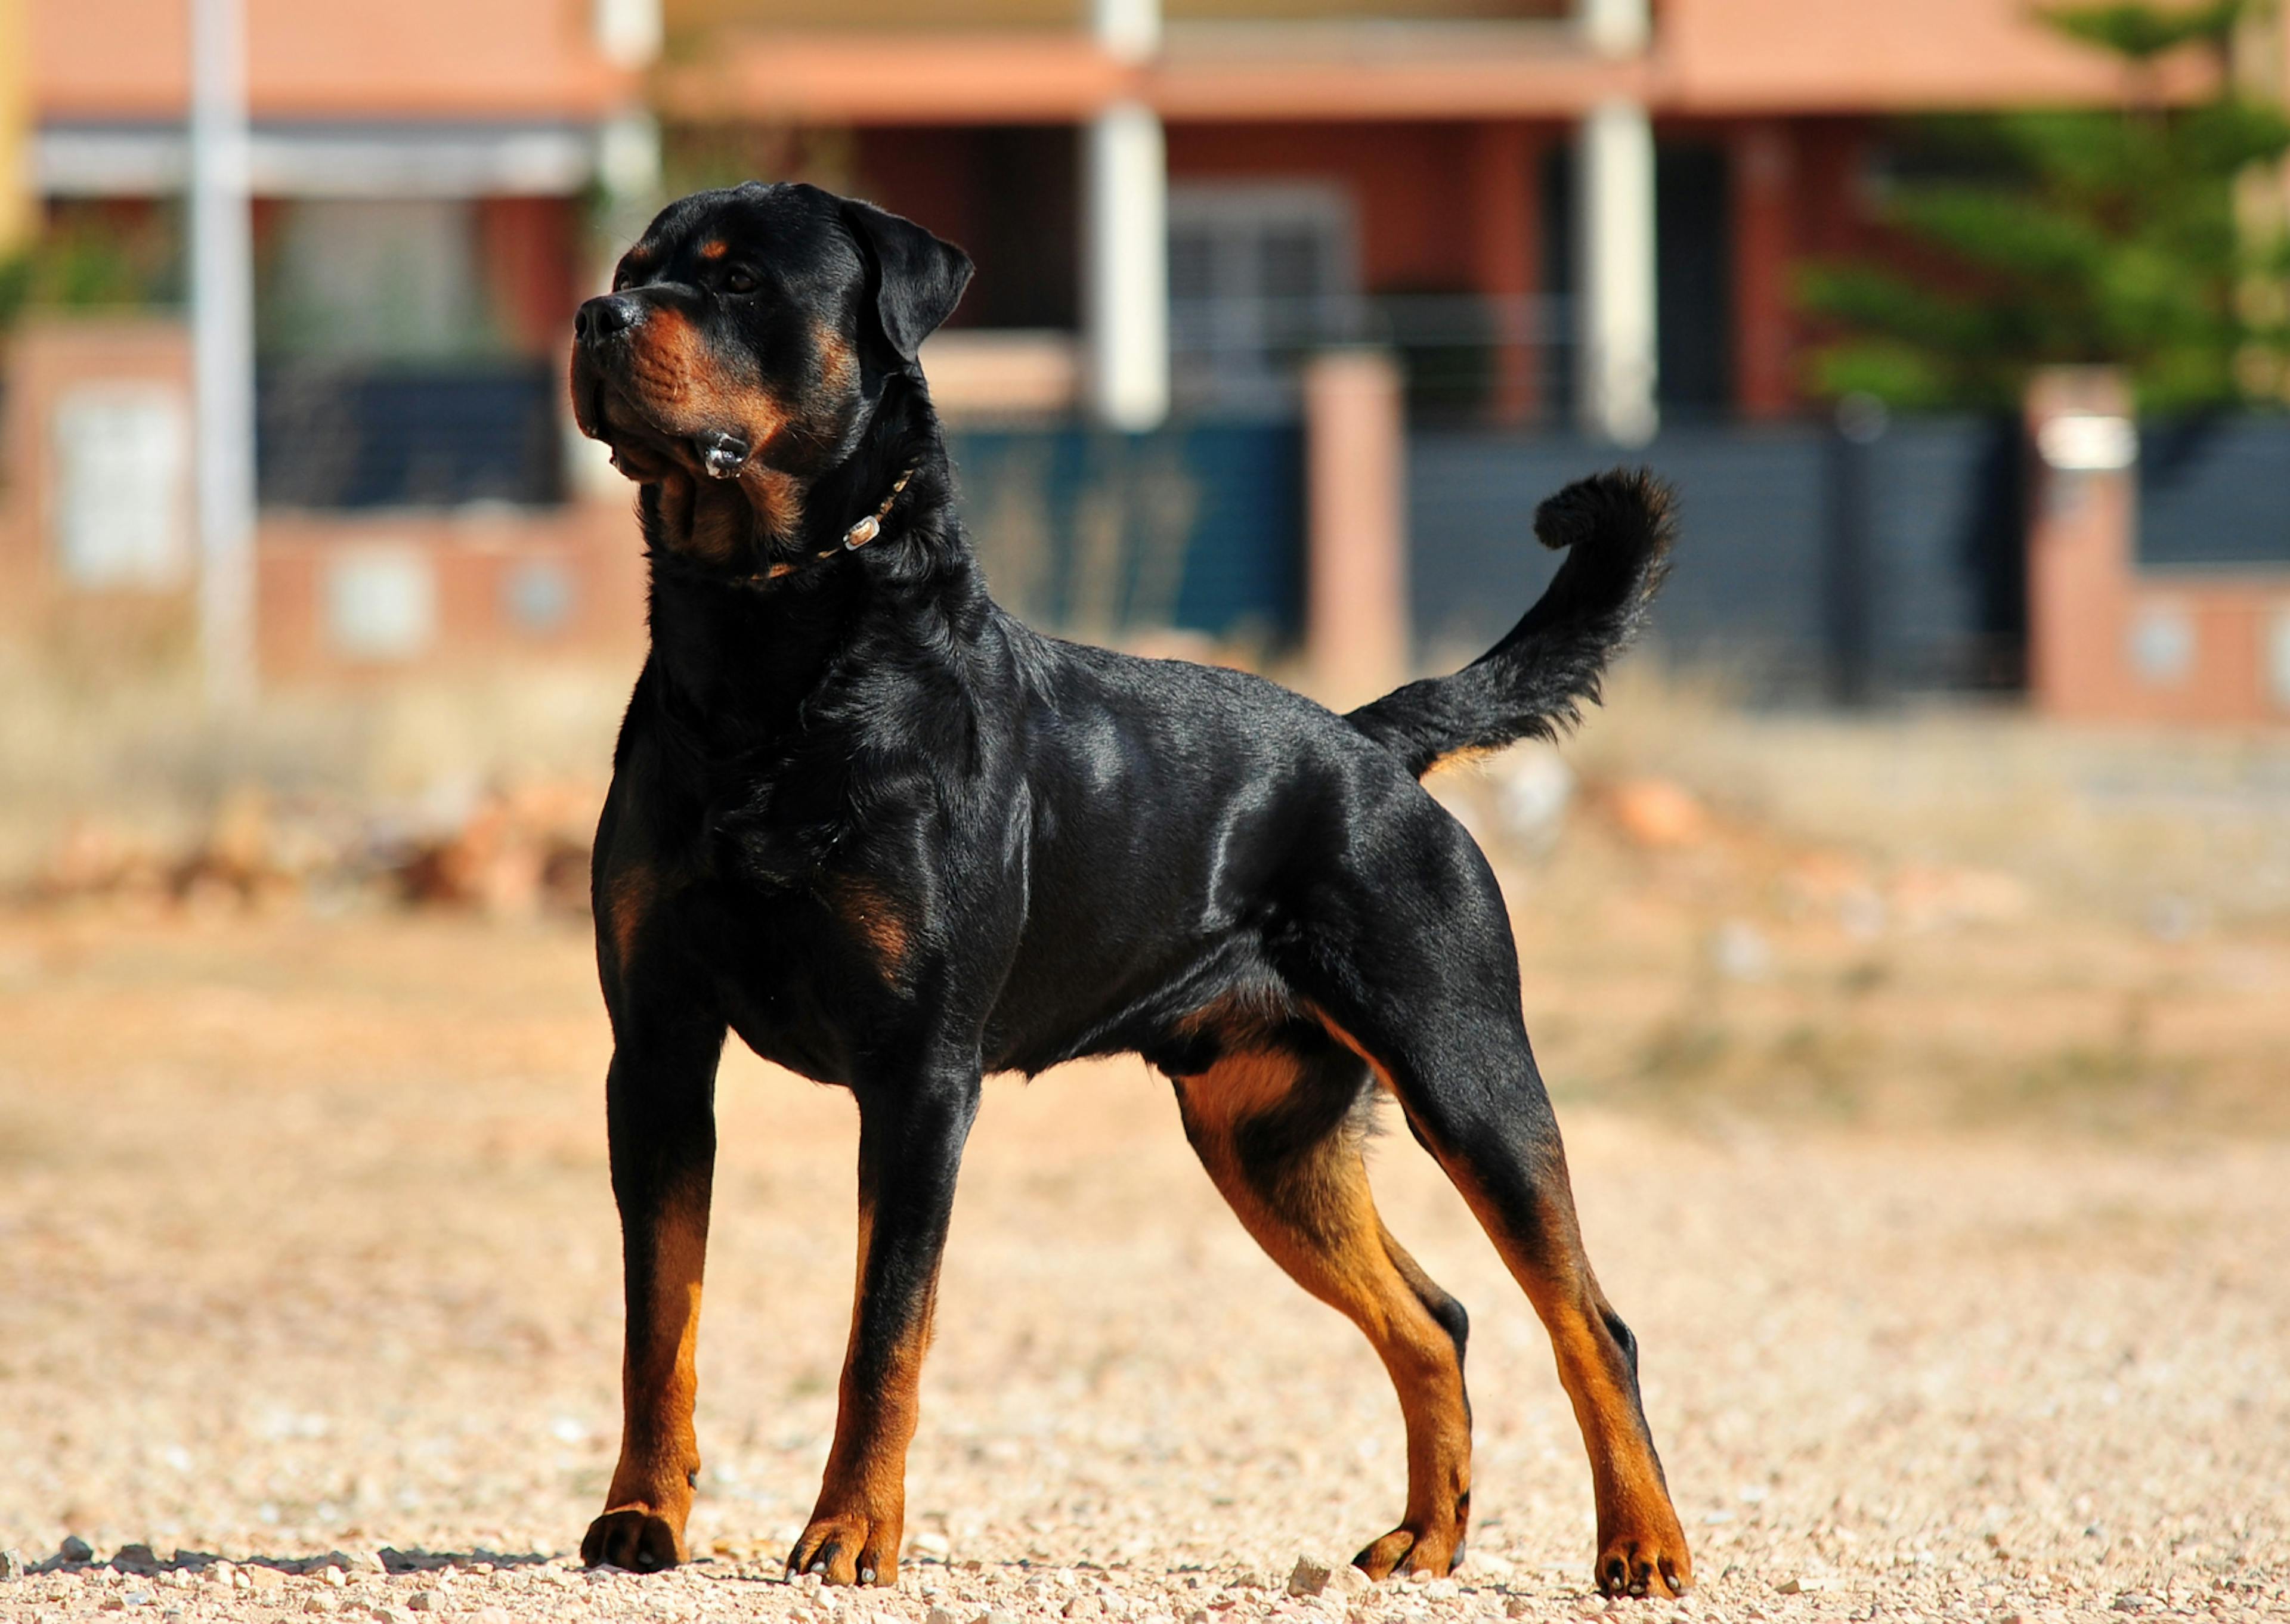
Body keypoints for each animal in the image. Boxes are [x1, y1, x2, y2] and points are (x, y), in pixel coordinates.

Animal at [565, 177, 1694, 1594]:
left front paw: (851, 1532)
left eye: (735, 282)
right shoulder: (658, 1049)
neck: (764, 650)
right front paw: (640, 1516)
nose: (594, 316)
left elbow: (885, 1333)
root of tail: (1368, 744)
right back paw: (1425, 1538)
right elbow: (657, 1315)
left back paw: (1642, 1544)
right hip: (1263, 1139)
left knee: (1592, 1319)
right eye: (631, 267)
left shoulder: (920, 1076)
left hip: (1468, 1067)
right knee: (1435, 1317)